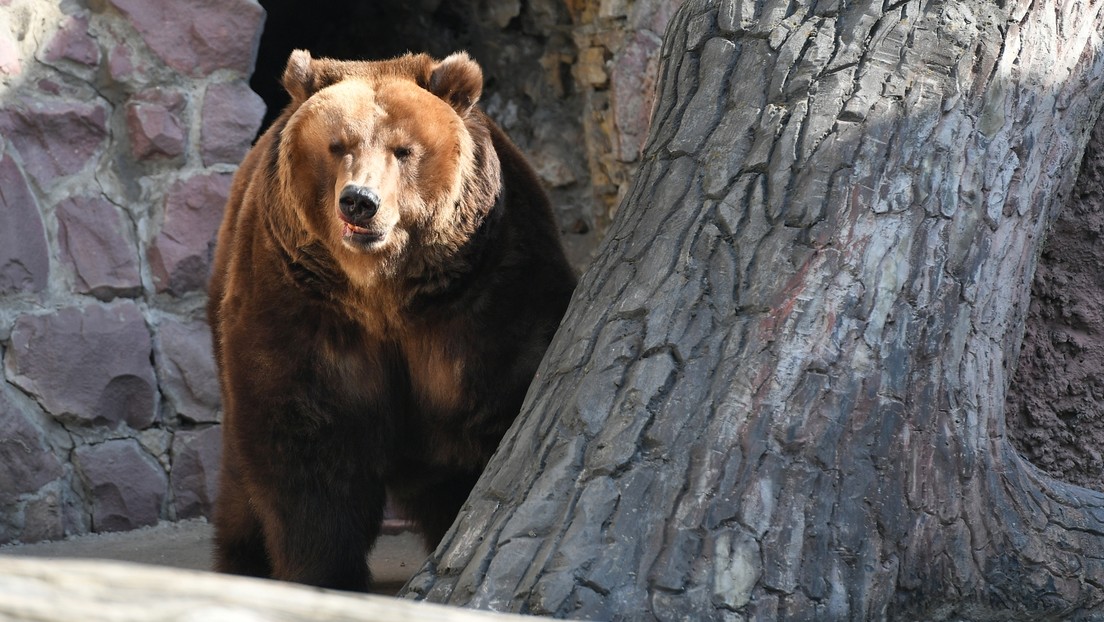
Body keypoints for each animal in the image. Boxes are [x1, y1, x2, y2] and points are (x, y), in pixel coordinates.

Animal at [207, 51, 582, 592]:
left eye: (403, 150)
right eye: (337, 145)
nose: (360, 201)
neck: (386, 293)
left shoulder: (486, 292)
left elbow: (498, 402)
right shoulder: (300, 302)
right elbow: (304, 436)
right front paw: (325, 572)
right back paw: (242, 559)